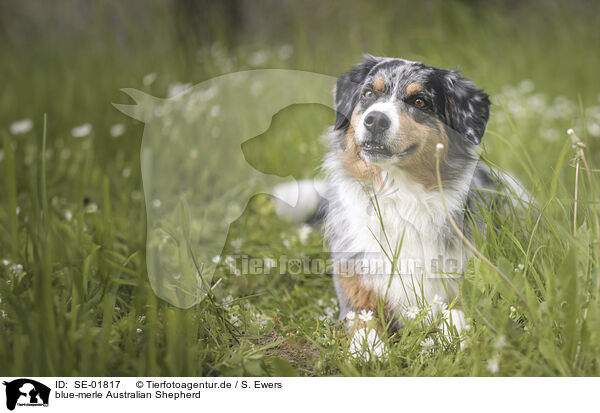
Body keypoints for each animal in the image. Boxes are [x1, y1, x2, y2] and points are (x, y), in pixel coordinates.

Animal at [274, 55, 528, 358]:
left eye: (420, 102)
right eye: (368, 94)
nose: (375, 120)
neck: (400, 200)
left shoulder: (464, 280)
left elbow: (456, 315)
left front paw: (448, 341)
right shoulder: (355, 291)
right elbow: (364, 323)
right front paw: (370, 352)